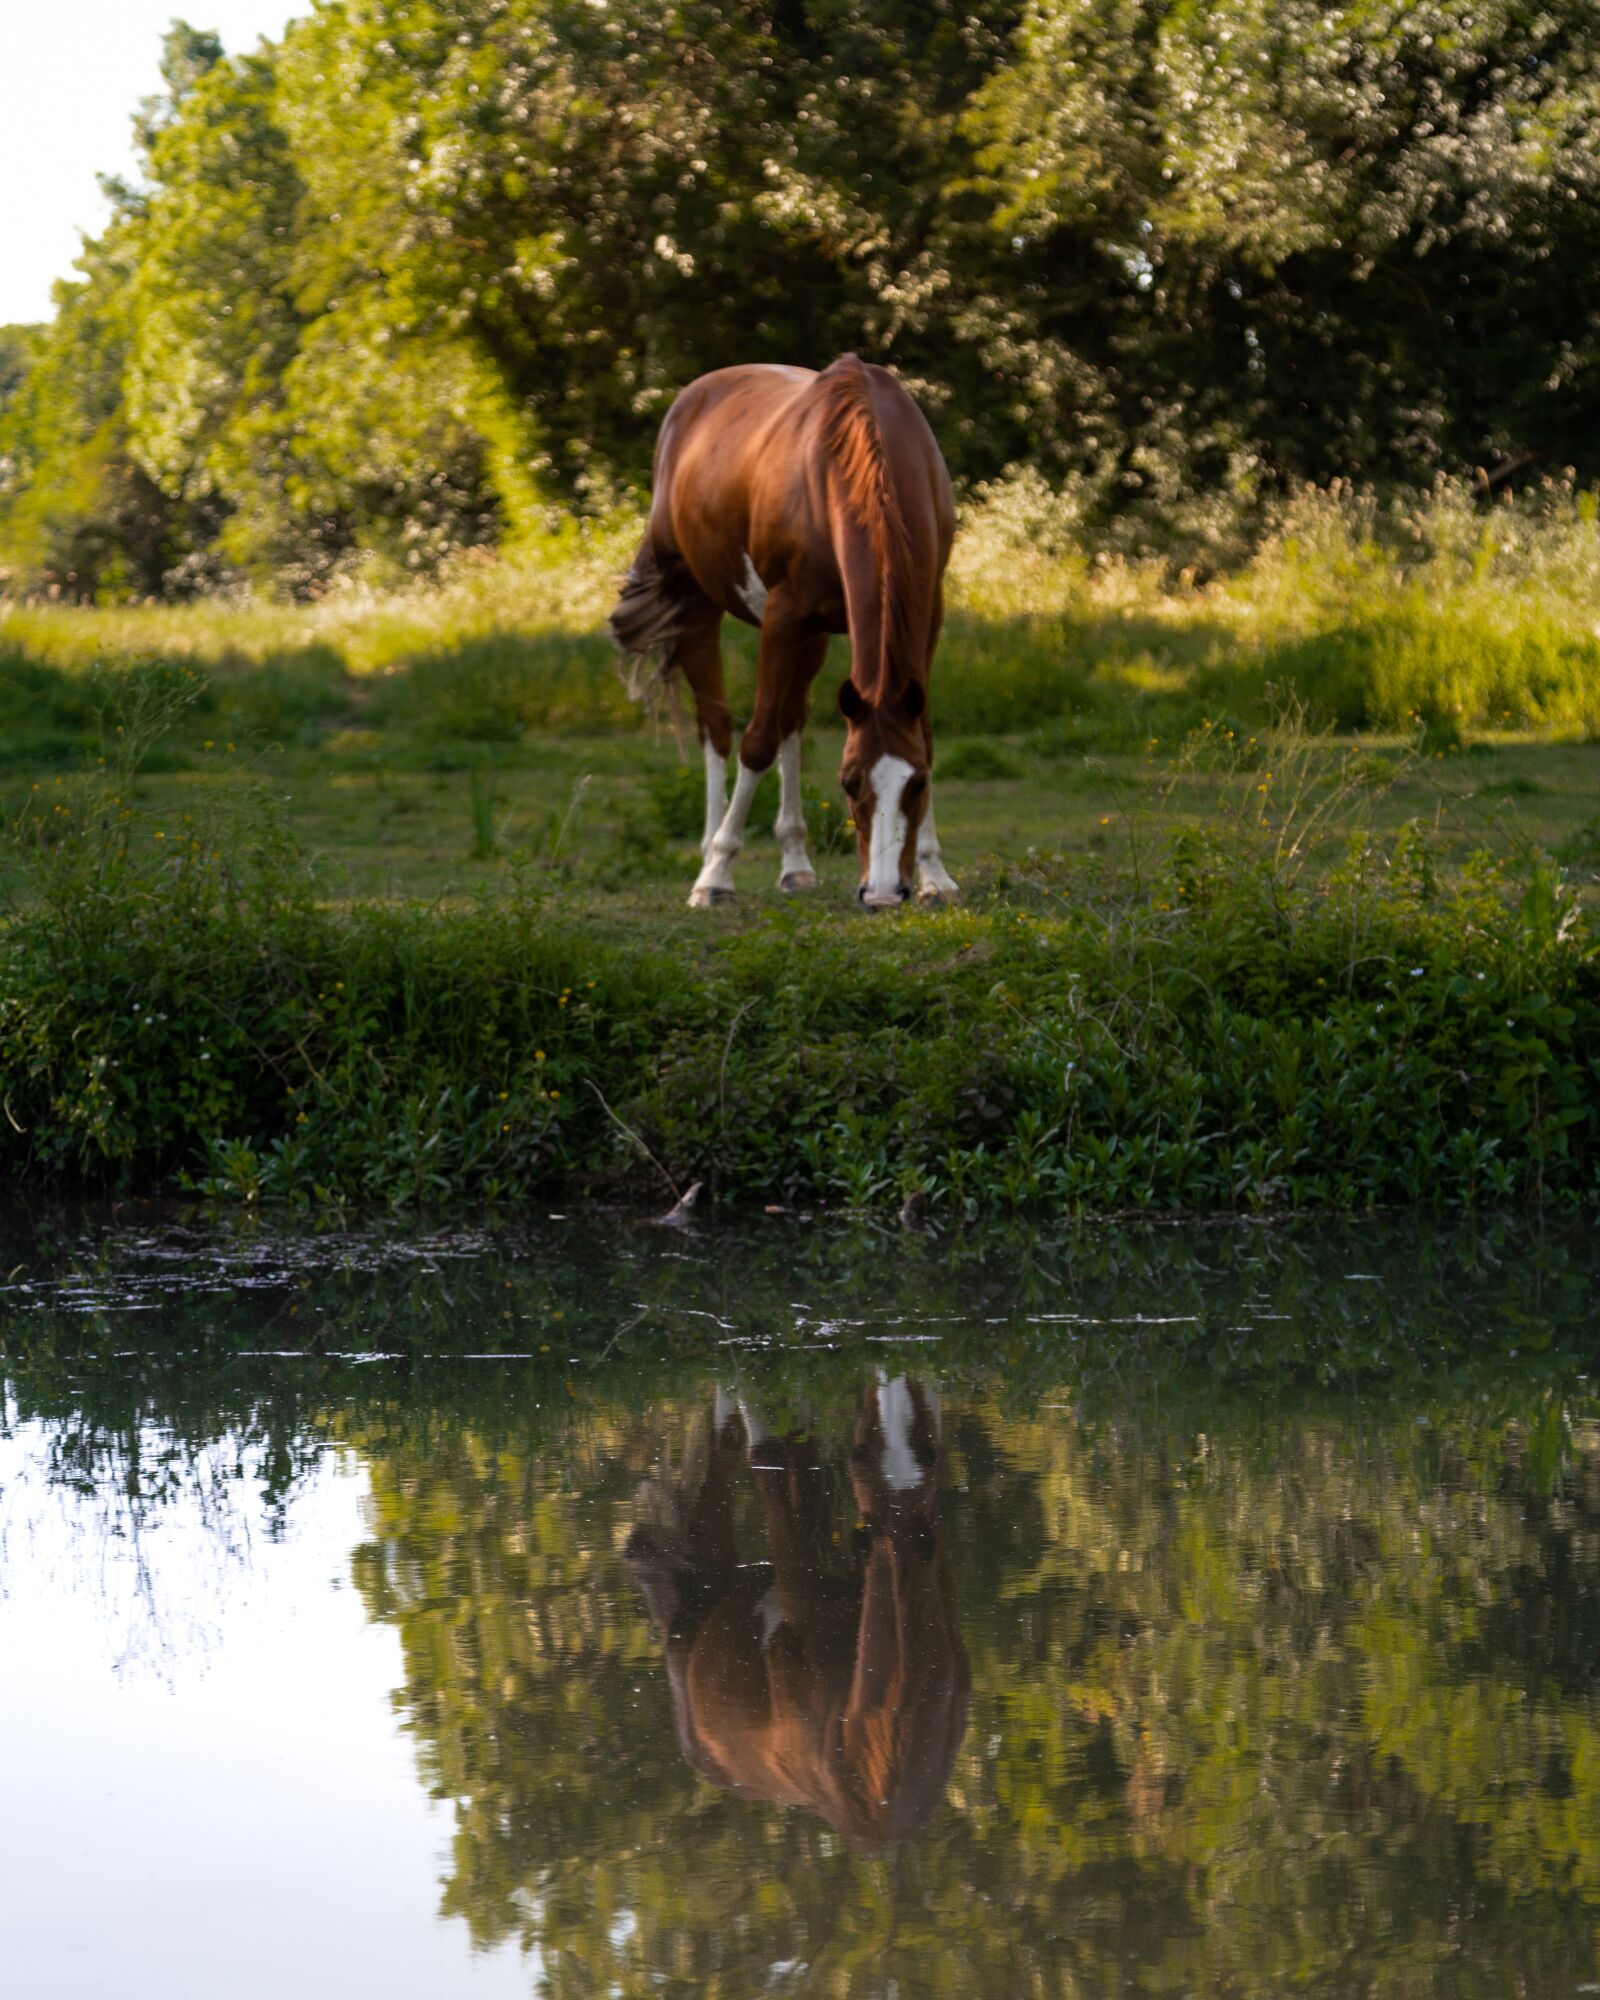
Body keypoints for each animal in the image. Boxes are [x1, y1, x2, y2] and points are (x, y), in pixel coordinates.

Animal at [608, 358, 956, 908]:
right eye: (849, 783)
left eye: (917, 782)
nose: (882, 893)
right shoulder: (784, 614)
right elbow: (757, 741)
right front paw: (718, 874)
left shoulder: (927, 613)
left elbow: (921, 736)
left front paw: (934, 875)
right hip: (702, 605)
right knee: (718, 725)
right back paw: (707, 854)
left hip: (815, 635)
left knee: (791, 718)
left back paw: (795, 863)